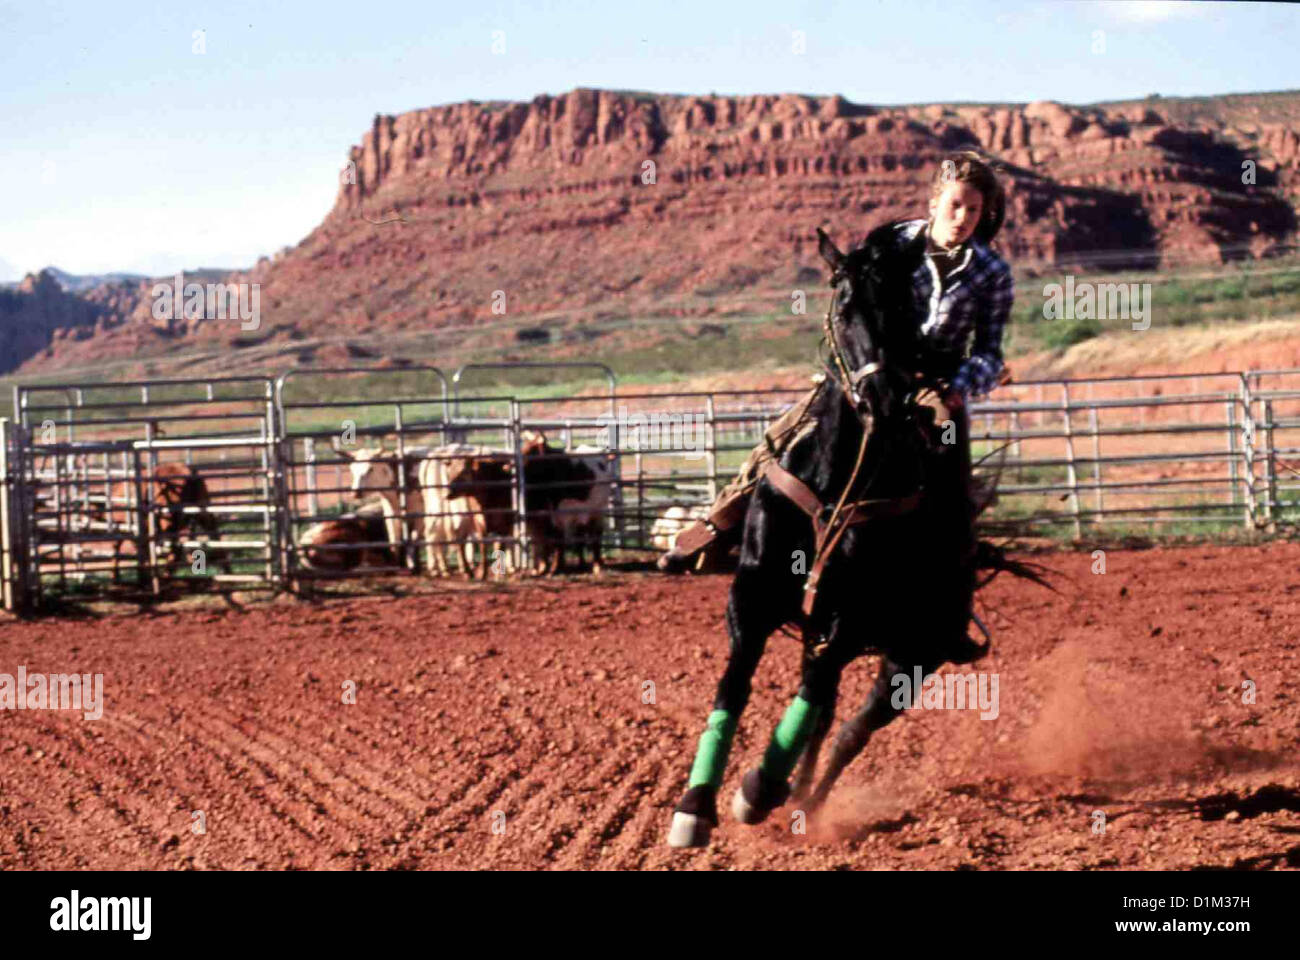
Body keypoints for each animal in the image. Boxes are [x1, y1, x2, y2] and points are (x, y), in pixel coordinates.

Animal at [670, 222, 993, 842]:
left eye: (905, 309)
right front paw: (695, 806)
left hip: (913, 653)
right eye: (845, 306)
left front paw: (757, 788)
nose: (886, 401)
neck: (838, 479)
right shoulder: (753, 591)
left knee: (852, 726)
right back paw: (793, 791)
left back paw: (802, 798)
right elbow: (735, 683)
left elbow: (818, 694)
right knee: (823, 712)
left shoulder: (851, 618)